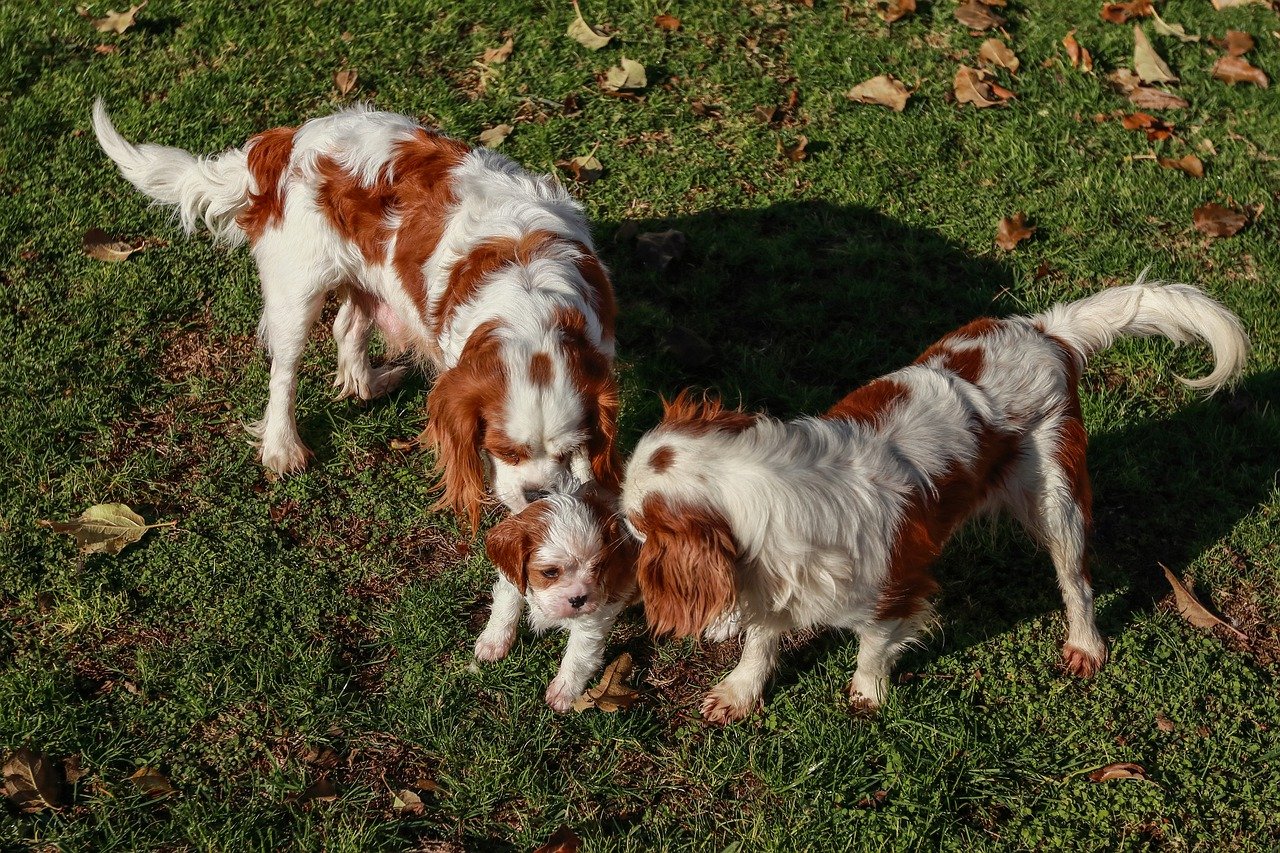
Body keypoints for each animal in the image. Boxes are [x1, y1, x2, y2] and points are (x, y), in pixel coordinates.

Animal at [92, 101, 616, 525]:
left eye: (568, 450)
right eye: (505, 450)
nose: (537, 495)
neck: (530, 306)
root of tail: (282, 141)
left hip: (369, 278)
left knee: (348, 327)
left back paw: (370, 382)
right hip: (296, 292)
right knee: (284, 371)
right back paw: (282, 446)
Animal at [478, 479, 637, 712]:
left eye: (598, 567)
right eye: (550, 572)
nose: (578, 599)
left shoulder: (594, 615)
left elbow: (578, 656)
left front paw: (564, 691)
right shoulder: (511, 579)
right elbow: (504, 607)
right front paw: (493, 642)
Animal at [619, 281, 1249, 722]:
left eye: (635, 527)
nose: (616, 542)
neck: (777, 483)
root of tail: (1047, 333)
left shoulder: (896, 587)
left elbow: (874, 645)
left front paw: (867, 695)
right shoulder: (772, 577)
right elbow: (761, 639)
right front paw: (740, 691)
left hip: (1057, 499)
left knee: (1077, 581)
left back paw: (1084, 644)